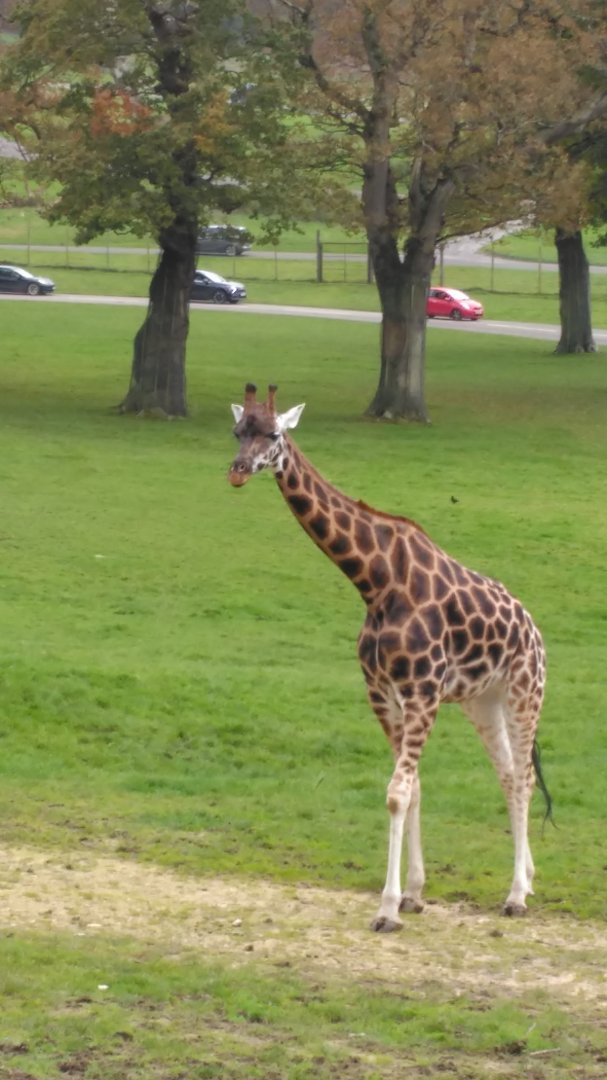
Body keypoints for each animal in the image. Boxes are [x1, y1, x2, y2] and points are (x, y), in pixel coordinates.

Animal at [228, 383, 549, 933]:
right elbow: (413, 787)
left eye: (272, 434)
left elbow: (398, 791)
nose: (238, 469)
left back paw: (516, 896)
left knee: (525, 778)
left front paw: (387, 908)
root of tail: (533, 628)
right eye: (237, 431)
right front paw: (413, 894)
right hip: (482, 701)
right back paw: (524, 880)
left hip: (525, 692)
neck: (376, 584)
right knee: (510, 775)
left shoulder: (421, 693)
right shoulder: (382, 693)